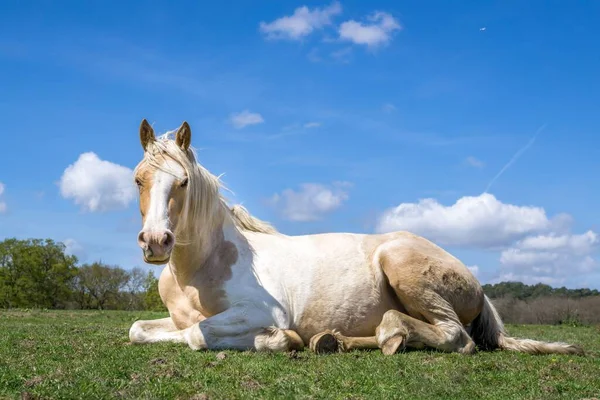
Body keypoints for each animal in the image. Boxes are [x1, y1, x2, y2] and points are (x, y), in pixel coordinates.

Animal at [129, 119, 584, 356]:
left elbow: (196, 336)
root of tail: (477, 283)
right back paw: (332, 341)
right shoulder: (172, 318)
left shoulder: (260, 312)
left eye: (184, 182)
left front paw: (279, 339)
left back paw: (385, 335)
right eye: (138, 179)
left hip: (401, 264)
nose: (156, 242)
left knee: (456, 337)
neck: (202, 268)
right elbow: (139, 329)